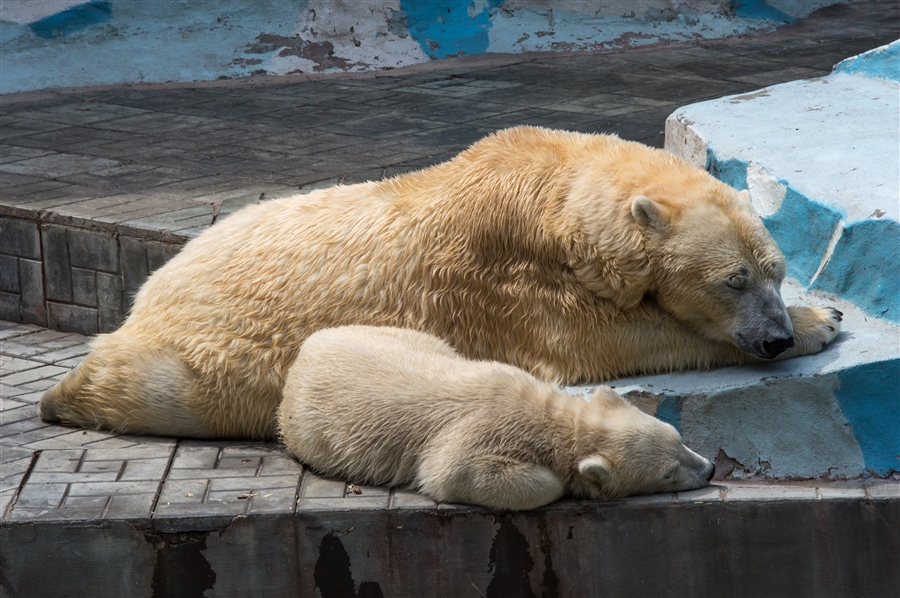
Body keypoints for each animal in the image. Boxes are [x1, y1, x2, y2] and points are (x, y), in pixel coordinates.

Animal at [38, 126, 840, 440]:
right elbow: (603, 338)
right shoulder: (510, 285)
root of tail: (145, 293)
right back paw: (65, 394)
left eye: (776, 270)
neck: (554, 199)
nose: (772, 337)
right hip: (199, 361)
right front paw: (821, 323)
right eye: (734, 280)